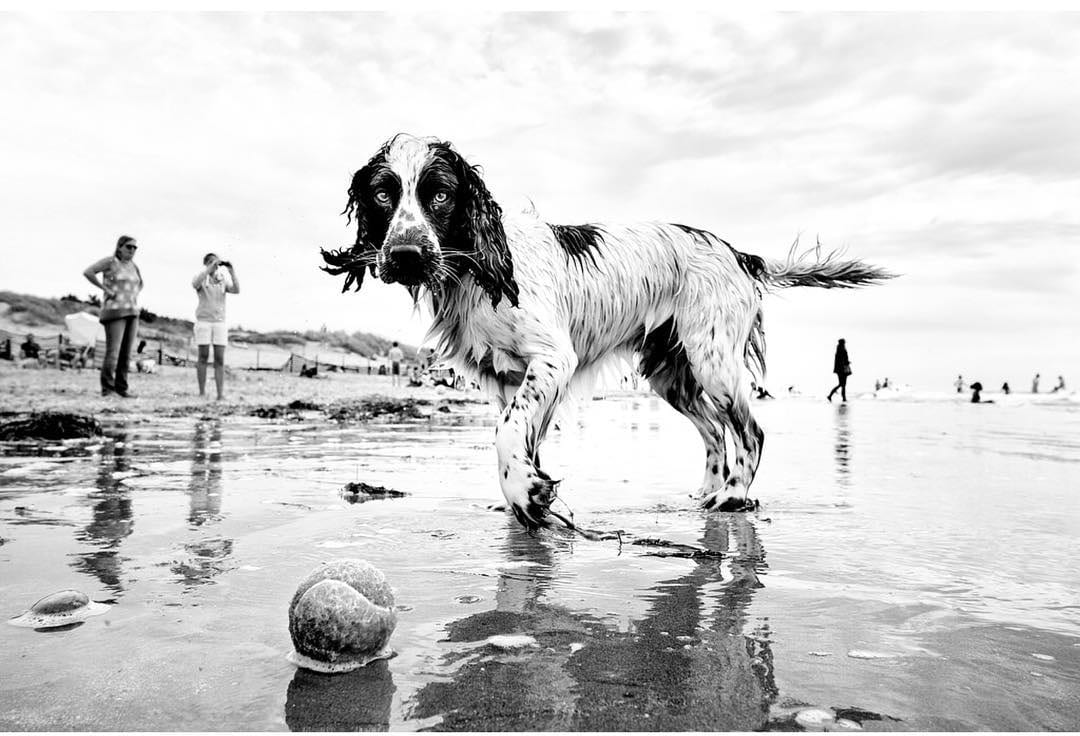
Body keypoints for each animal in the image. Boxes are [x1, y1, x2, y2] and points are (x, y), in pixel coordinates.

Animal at [321, 133, 894, 527]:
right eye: (382, 195)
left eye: (439, 195)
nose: (404, 255)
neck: (477, 270)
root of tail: (737, 253)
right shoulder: (505, 379)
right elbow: (520, 437)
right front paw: (534, 494)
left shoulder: (552, 360)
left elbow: (508, 434)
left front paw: (527, 494)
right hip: (671, 376)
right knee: (715, 434)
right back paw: (704, 495)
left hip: (712, 361)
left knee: (750, 432)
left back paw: (732, 497)